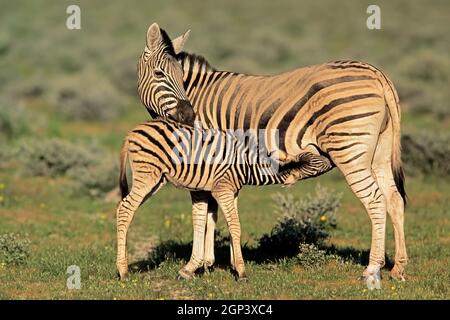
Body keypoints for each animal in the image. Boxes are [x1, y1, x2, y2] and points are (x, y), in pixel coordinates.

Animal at [128, 22, 406, 282]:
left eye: (177, 75)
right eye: (159, 73)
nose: (188, 116)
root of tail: (376, 74)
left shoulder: (202, 160)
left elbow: (201, 212)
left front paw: (194, 266)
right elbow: (212, 211)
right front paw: (212, 263)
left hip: (349, 151)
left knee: (375, 201)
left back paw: (372, 269)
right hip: (379, 154)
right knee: (394, 199)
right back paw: (398, 269)